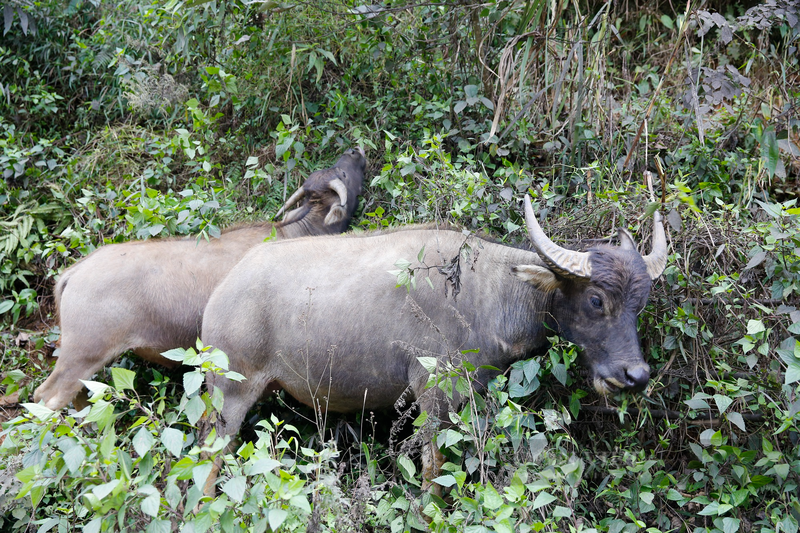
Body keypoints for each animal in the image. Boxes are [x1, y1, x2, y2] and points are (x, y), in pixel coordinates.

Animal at [33, 145, 366, 408]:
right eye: (343, 174)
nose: (354, 151)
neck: (294, 231)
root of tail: (76, 270)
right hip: (82, 353)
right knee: (47, 396)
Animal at [202, 194, 668, 486]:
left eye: (640, 302)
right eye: (595, 299)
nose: (635, 375)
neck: (487, 294)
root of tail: (224, 289)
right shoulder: (434, 397)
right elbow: (435, 478)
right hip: (230, 395)